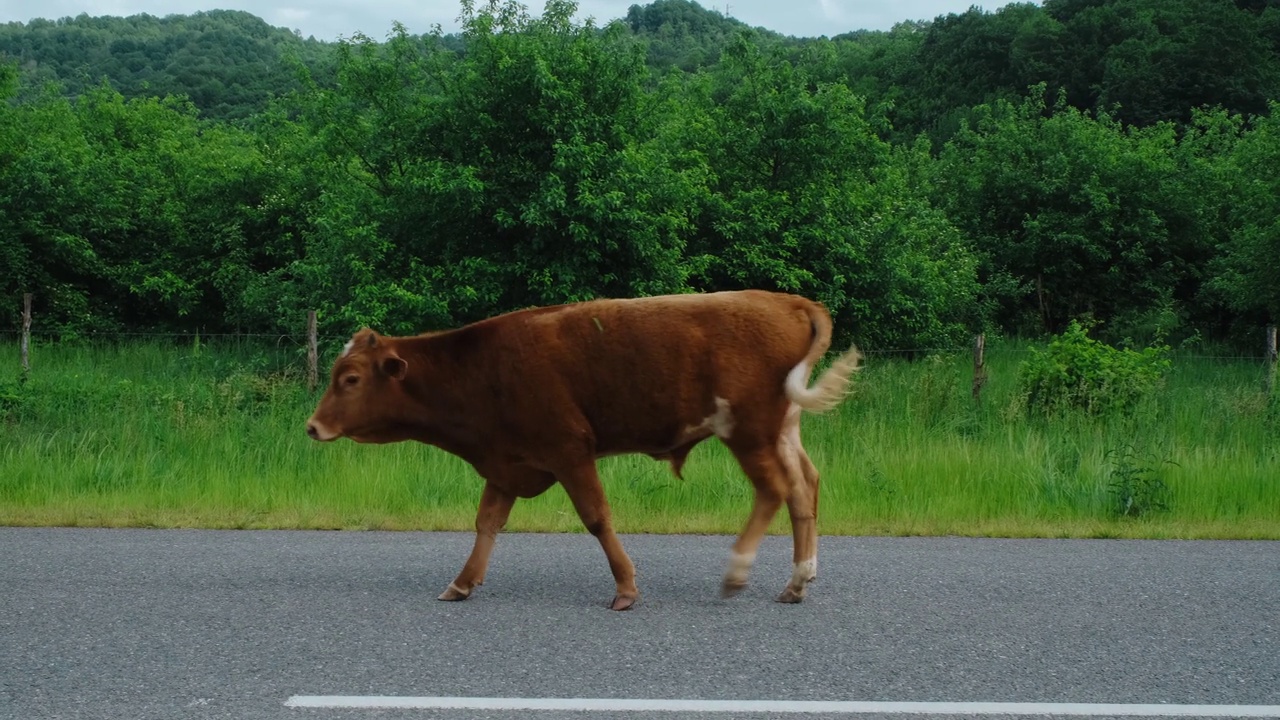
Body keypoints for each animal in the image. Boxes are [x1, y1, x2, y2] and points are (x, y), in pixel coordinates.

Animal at [304, 288, 860, 607]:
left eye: (350, 378)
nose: (312, 426)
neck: (481, 369)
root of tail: (788, 300)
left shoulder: (569, 450)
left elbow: (596, 517)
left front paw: (626, 589)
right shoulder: (508, 463)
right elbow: (487, 523)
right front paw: (462, 583)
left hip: (748, 430)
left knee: (774, 489)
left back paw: (737, 572)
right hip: (781, 429)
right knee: (803, 487)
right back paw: (798, 581)